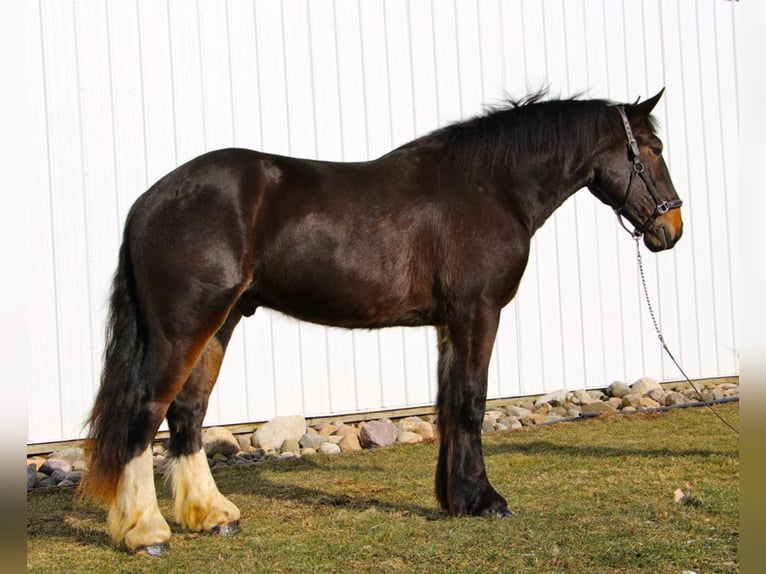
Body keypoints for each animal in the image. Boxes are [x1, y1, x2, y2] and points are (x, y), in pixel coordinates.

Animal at [82, 90, 684, 552]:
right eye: (652, 149)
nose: (670, 228)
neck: (491, 186)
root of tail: (148, 201)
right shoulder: (478, 311)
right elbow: (471, 402)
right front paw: (487, 501)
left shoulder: (449, 323)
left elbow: (449, 403)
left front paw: (456, 499)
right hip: (184, 326)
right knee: (146, 412)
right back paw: (146, 531)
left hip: (220, 322)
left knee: (187, 414)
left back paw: (213, 515)